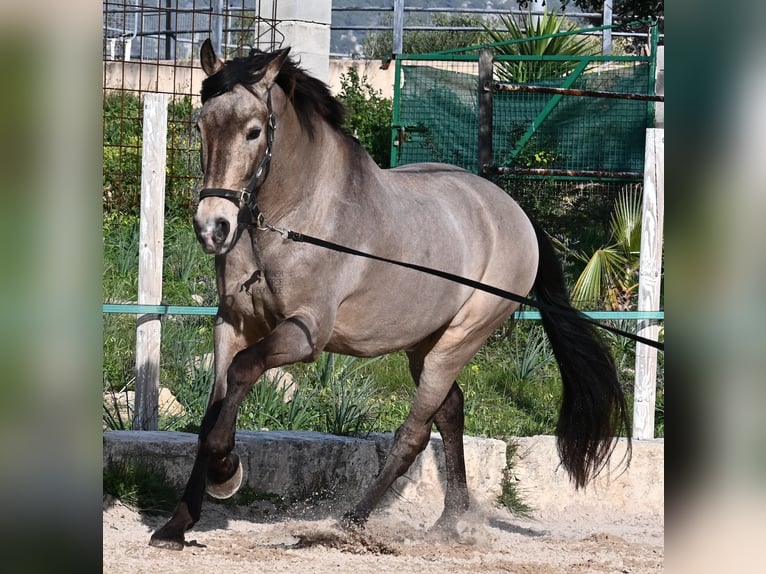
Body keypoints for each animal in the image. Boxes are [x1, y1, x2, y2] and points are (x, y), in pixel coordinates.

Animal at [148, 38, 632, 552]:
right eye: (200, 125)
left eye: (254, 131)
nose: (212, 228)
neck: (292, 219)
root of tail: (513, 211)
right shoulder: (233, 323)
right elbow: (211, 412)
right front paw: (177, 526)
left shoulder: (304, 333)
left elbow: (243, 371)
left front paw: (226, 470)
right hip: (426, 344)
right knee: (451, 411)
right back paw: (449, 521)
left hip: (460, 340)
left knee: (414, 434)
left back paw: (348, 523)